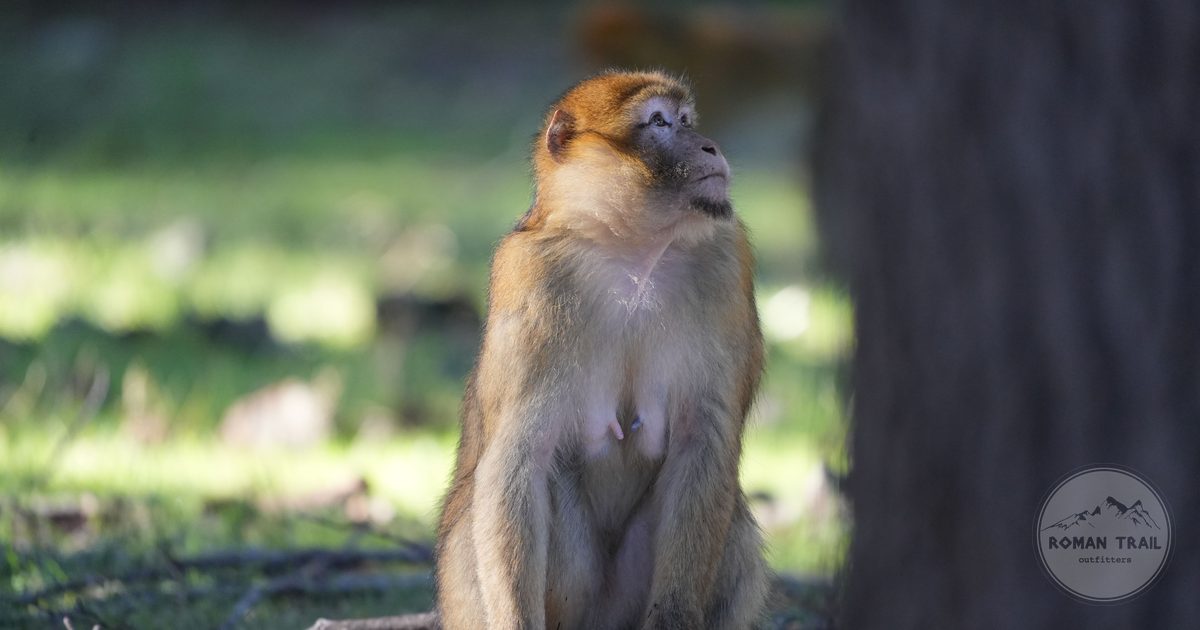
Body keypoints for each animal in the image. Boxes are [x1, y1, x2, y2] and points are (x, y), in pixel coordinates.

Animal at [435, 70, 767, 630]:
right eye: (659, 123)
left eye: (686, 120)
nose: (711, 146)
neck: (630, 247)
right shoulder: (529, 274)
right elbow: (518, 460)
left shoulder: (727, 260)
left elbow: (702, 440)